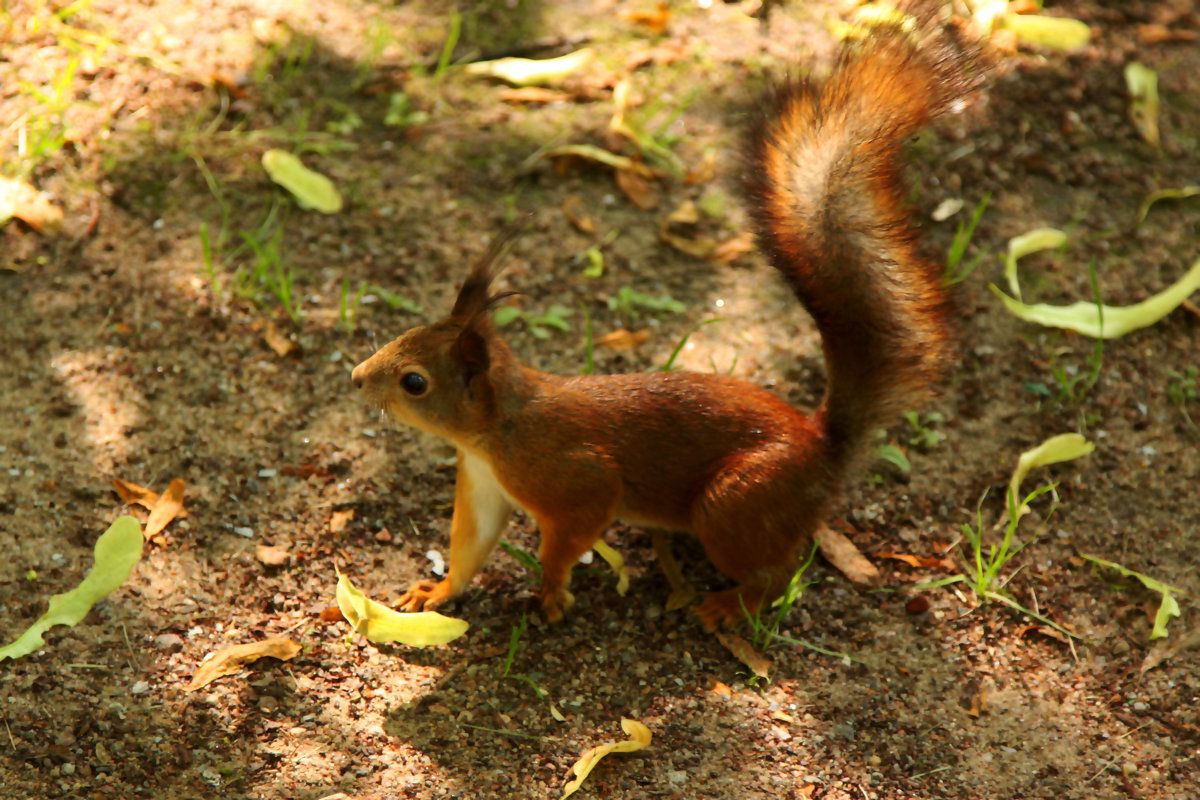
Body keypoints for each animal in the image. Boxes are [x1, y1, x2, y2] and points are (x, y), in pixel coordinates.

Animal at [350, 12, 979, 623]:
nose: (356, 378)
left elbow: (571, 533)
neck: (497, 429)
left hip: (733, 502)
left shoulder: (576, 476)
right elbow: (470, 548)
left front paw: (551, 591)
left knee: (775, 576)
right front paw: (435, 594)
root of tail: (821, 451)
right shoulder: (481, 484)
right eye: (406, 335)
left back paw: (728, 607)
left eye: (414, 382)